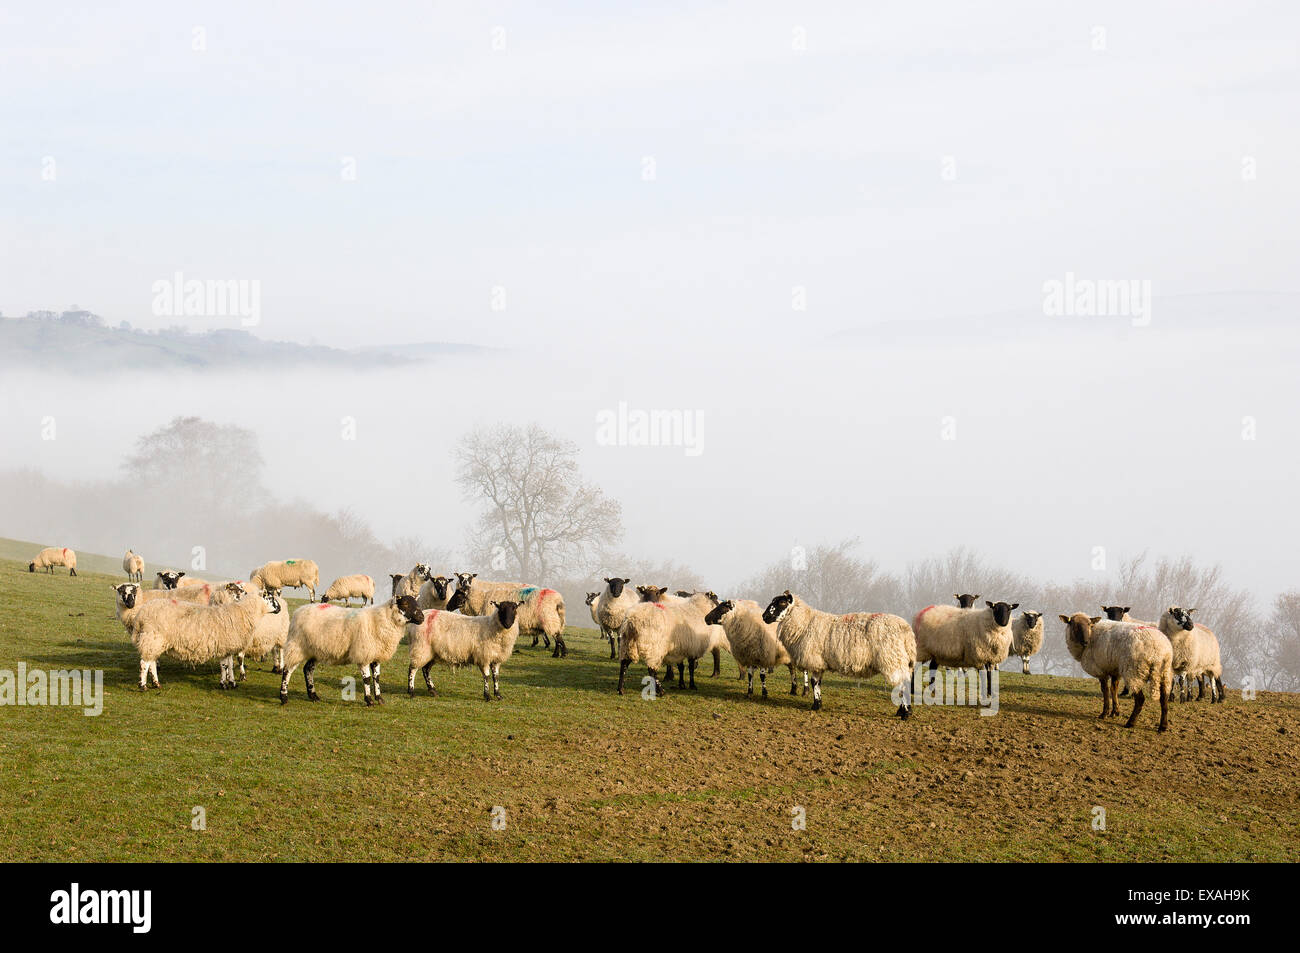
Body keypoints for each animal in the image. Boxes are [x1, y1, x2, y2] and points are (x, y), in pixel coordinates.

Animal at [130, 582, 283, 686]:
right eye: (270, 597)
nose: (280, 608)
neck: (243, 613)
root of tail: (141, 615)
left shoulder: (227, 646)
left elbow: (229, 665)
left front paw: (232, 682)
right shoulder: (224, 645)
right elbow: (224, 666)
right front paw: (224, 683)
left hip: (154, 642)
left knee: (151, 662)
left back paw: (156, 684)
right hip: (153, 639)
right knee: (145, 663)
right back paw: (143, 686)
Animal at [280, 595, 426, 707]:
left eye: (417, 603)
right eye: (405, 603)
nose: (422, 618)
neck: (383, 620)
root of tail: (299, 610)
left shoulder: (376, 655)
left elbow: (377, 678)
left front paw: (379, 699)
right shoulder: (364, 654)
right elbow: (367, 679)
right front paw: (369, 700)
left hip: (316, 650)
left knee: (308, 669)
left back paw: (313, 696)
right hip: (297, 646)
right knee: (287, 670)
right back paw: (284, 697)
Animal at [759, 590, 915, 717]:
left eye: (782, 602)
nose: (764, 616)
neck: (804, 623)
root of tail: (907, 630)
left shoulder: (815, 660)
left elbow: (814, 682)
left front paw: (815, 705)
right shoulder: (819, 663)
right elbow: (817, 682)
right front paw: (818, 703)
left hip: (893, 660)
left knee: (902, 685)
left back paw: (905, 713)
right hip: (902, 662)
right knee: (905, 683)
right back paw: (902, 711)